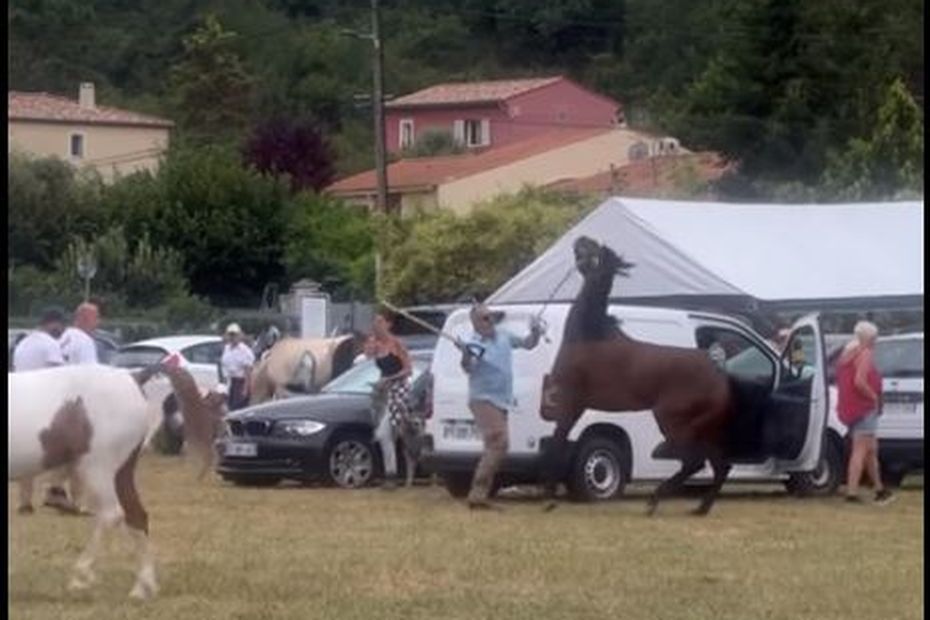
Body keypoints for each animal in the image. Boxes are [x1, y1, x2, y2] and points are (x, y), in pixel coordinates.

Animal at [8, 366, 225, 600]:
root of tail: (135, 376)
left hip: (97, 469)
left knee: (112, 514)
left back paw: (81, 576)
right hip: (121, 472)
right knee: (137, 517)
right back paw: (142, 588)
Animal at [540, 235, 744, 516]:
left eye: (598, 251)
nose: (581, 239)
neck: (590, 335)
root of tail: (719, 376)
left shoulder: (571, 401)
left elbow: (557, 445)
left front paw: (549, 499)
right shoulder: (578, 406)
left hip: (671, 420)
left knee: (695, 463)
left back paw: (654, 501)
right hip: (704, 429)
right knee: (720, 465)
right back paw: (700, 508)